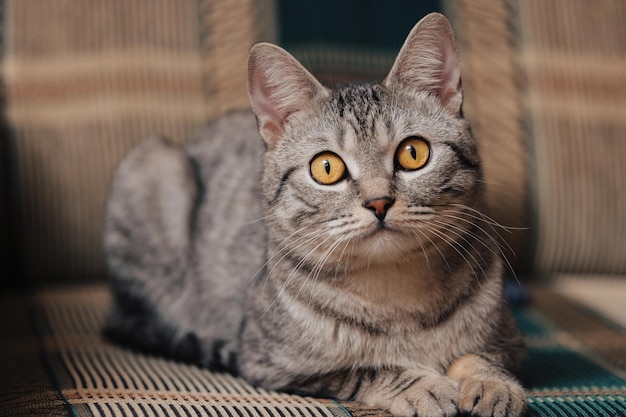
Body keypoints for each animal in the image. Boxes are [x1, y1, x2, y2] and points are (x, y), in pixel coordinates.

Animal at [105, 12, 524, 416]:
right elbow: (369, 368)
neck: (398, 299)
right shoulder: (274, 363)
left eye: (413, 153)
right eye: (326, 168)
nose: (378, 202)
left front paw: (493, 386)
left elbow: (482, 358)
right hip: (154, 166)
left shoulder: (508, 340)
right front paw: (422, 386)